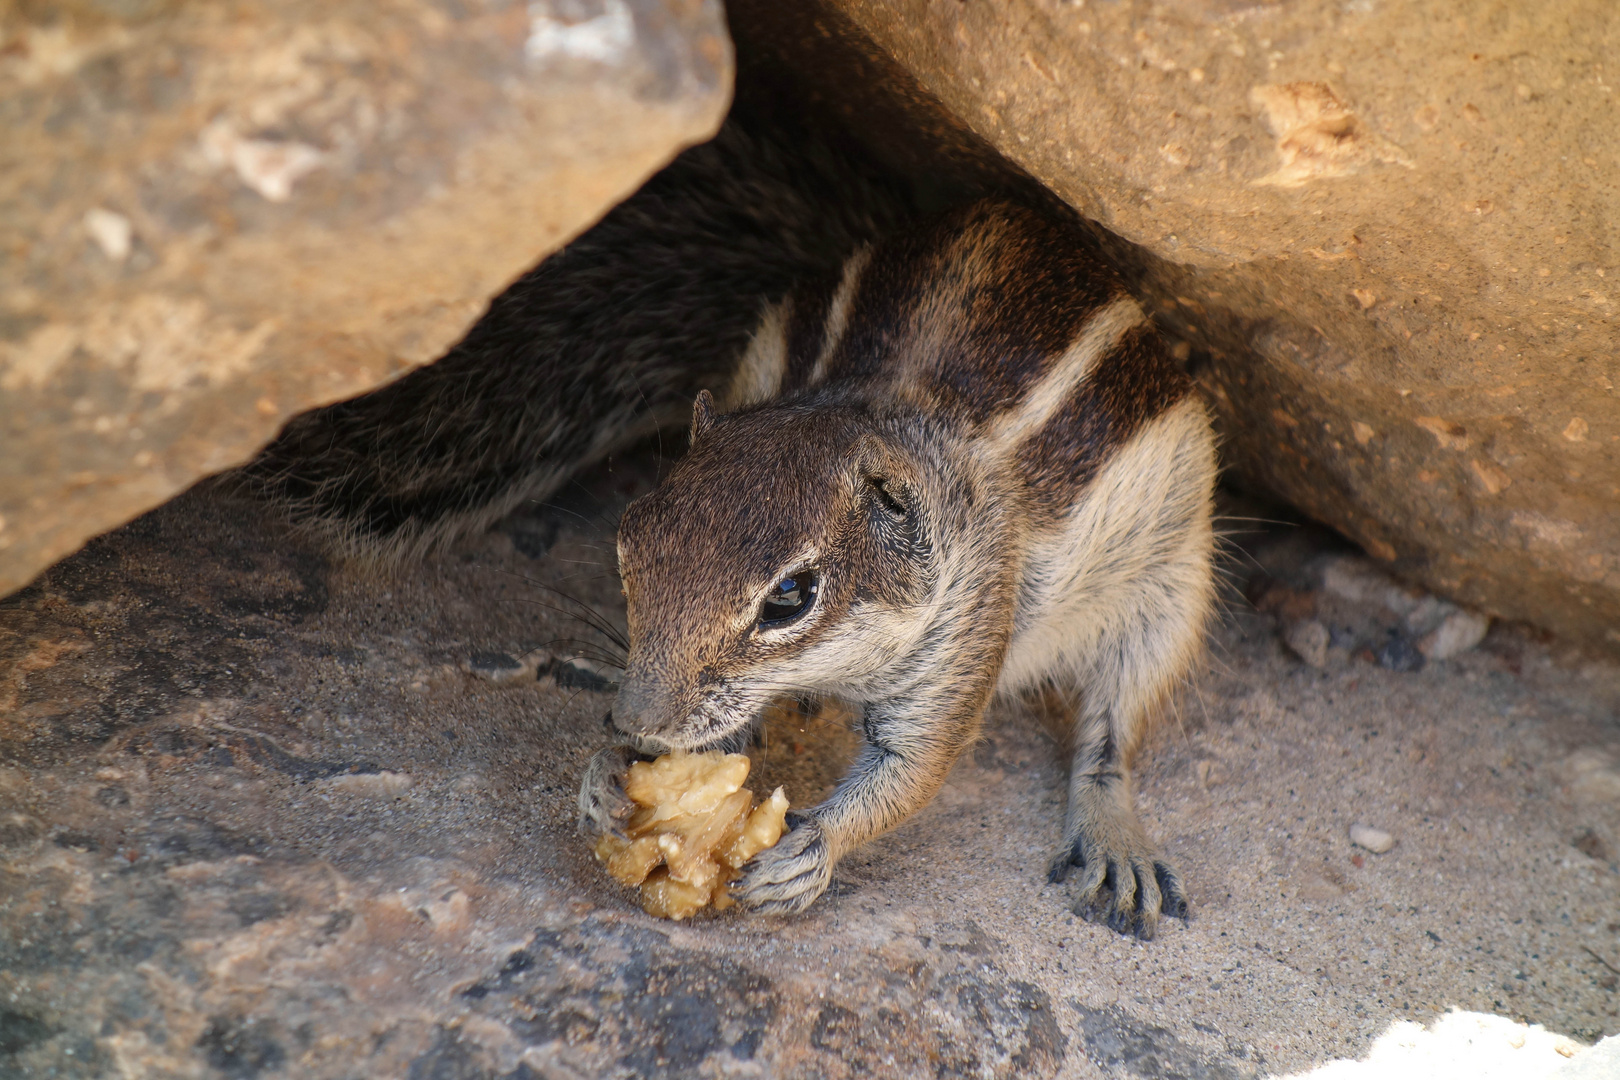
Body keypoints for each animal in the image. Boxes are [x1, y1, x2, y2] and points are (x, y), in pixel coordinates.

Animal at [246, 118, 1218, 932]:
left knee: (1117, 726)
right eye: (629, 551)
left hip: (1171, 578)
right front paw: (605, 779)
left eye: (791, 598)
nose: (634, 720)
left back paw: (1117, 835)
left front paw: (811, 850)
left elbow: (917, 766)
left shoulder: (971, 612)